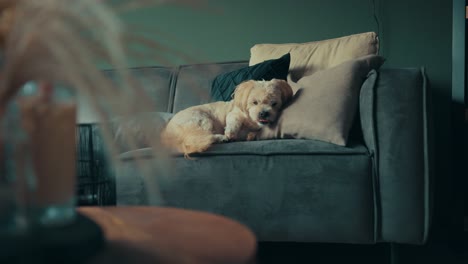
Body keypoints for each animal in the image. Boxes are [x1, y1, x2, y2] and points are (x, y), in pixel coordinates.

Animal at [161, 79, 292, 157]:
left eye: (274, 104)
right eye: (254, 102)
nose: (263, 113)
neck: (252, 123)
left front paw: (250, 135)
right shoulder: (234, 113)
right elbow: (234, 120)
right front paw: (231, 133)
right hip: (202, 120)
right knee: (197, 138)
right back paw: (222, 138)